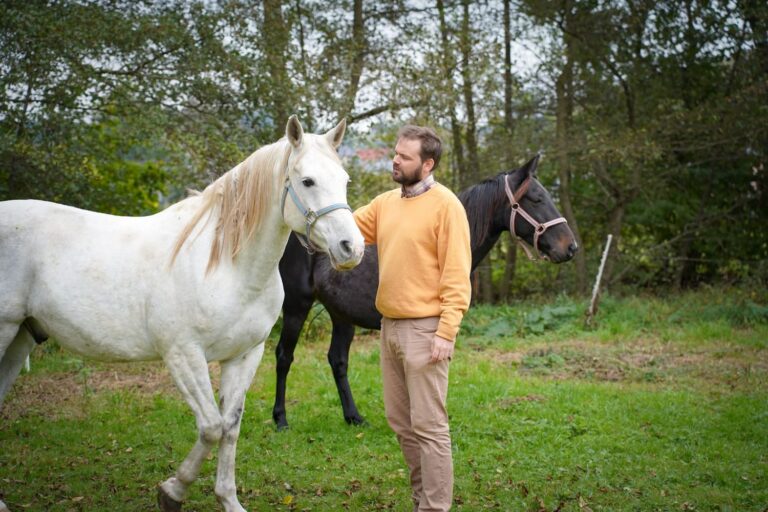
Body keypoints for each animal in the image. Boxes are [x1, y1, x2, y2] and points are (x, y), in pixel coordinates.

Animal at [0, 116, 364, 512]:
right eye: (307, 181)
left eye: (344, 180)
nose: (352, 247)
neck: (225, 264)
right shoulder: (183, 355)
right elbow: (211, 427)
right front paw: (172, 492)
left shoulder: (244, 356)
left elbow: (230, 427)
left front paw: (228, 499)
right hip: (5, 331)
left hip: (21, 336)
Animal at [272, 153, 577, 430]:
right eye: (536, 199)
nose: (570, 247)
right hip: (296, 307)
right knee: (284, 356)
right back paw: (280, 419)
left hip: (341, 316)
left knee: (337, 360)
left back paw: (353, 417)